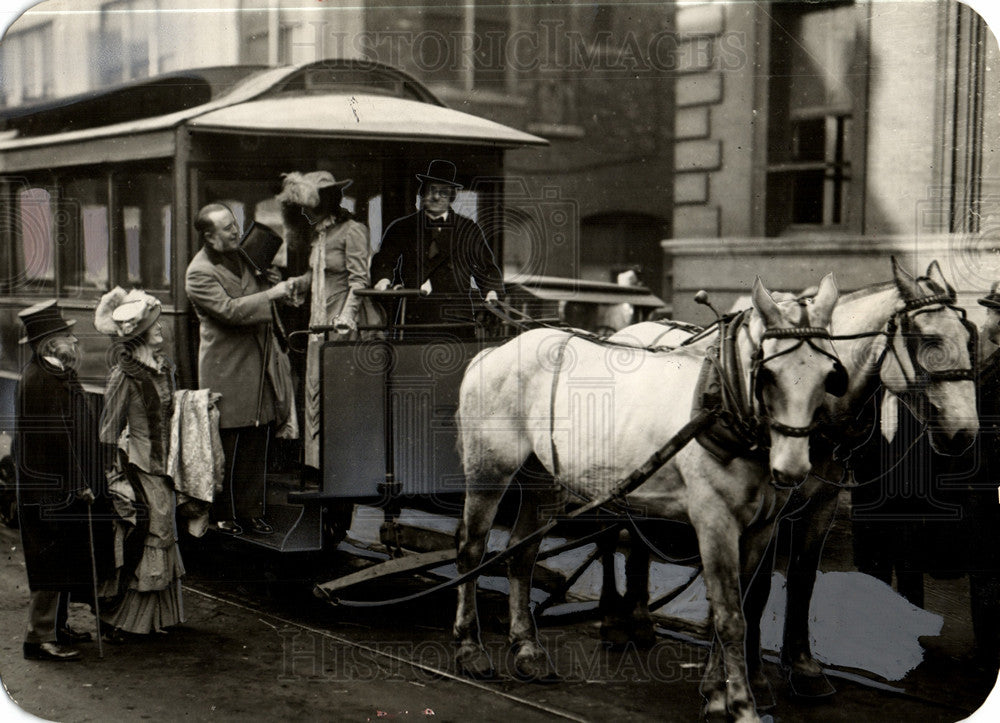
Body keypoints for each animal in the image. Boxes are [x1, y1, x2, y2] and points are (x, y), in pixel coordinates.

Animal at [458, 274, 840, 720]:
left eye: (830, 374)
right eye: (769, 374)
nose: (792, 469)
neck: (722, 397)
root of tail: (494, 351)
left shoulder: (761, 527)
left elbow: (739, 605)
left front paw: (716, 694)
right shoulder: (715, 521)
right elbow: (731, 617)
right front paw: (742, 705)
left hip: (543, 481)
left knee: (521, 555)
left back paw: (527, 649)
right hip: (489, 469)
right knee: (471, 549)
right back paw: (469, 647)